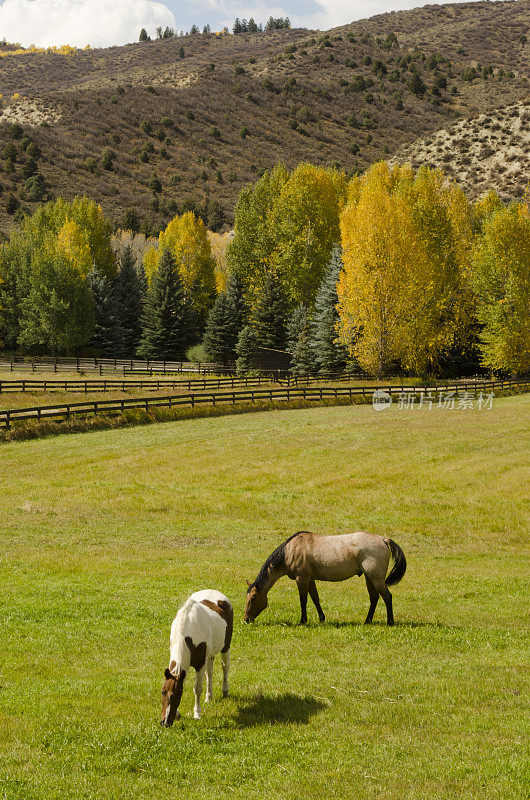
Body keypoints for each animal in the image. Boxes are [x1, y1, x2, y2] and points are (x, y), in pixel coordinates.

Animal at [160, 588, 232, 724]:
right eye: (163, 692)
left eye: (178, 695)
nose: (164, 722)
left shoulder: (200, 663)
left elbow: (197, 688)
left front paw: (197, 713)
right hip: (210, 655)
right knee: (210, 673)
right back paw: (209, 696)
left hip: (225, 647)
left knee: (225, 667)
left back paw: (225, 690)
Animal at [242, 532, 404, 624]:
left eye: (253, 598)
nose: (246, 619)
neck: (289, 551)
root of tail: (384, 540)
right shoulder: (310, 579)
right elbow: (315, 599)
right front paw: (322, 618)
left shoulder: (301, 578)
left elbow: (303, 600)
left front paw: (303, 621)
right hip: (369, 577)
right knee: (374, 598)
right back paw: (367, 621)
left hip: (376, 578)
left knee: (387, 596)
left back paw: (390, 621)